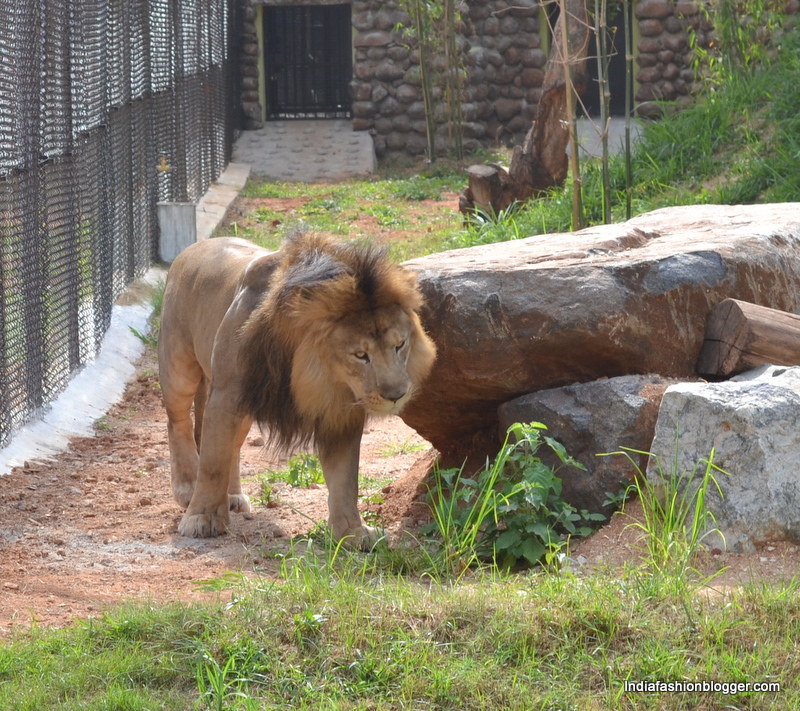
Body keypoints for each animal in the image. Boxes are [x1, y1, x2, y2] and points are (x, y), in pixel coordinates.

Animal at [157, 232, 438, 544]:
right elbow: (212, 463)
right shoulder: (227, 394)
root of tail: (198, 244)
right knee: (178, 423)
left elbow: (345, 479)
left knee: (232, 445)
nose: (396, 396)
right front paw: (201, 518)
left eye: (400, 345)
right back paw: (186, 488)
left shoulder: (339, 412)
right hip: (179, 366)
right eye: (360, 355)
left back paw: (231, 497)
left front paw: (352, 532)